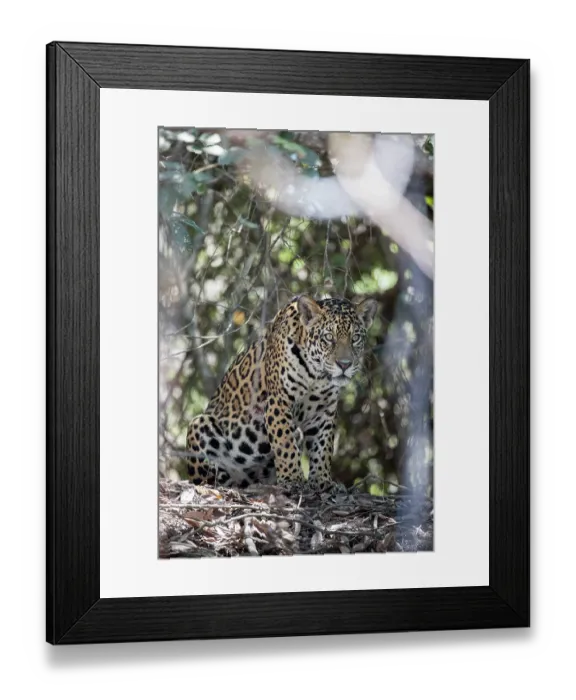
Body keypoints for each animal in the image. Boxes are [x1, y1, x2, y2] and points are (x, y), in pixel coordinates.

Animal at [185, 295, 378, 490]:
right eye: (328, 337)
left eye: (355, 338)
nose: (344, 364)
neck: (316, 374)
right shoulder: (279, 402)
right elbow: (284, 442)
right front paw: (293, 478)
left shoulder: (324, 411)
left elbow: (322, 446)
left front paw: (321, 480)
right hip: (200, 425)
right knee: (209, 476)